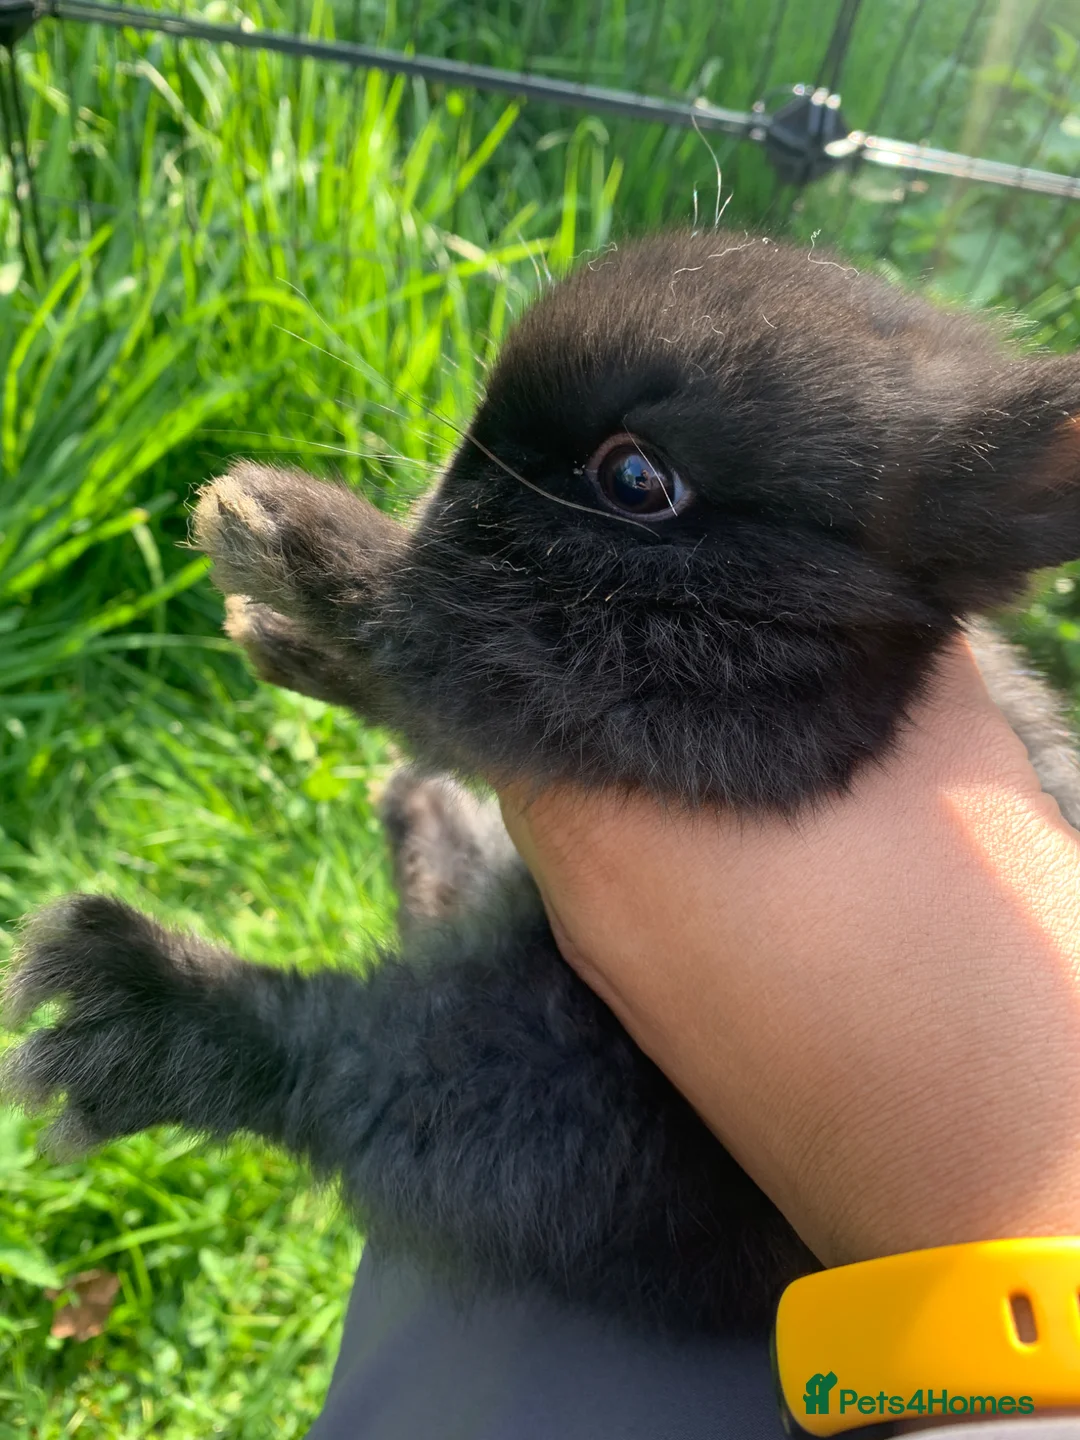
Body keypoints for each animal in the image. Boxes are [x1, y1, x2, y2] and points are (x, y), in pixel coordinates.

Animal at [6, 230, 1080, 1341]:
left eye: (637, 478)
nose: (452, 490)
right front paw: (278, 628)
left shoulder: (666, 707)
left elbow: (453, 639)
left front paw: (274, 527)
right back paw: (408, 821)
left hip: (552, 1103)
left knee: (339, 1066)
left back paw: (128, 1000)